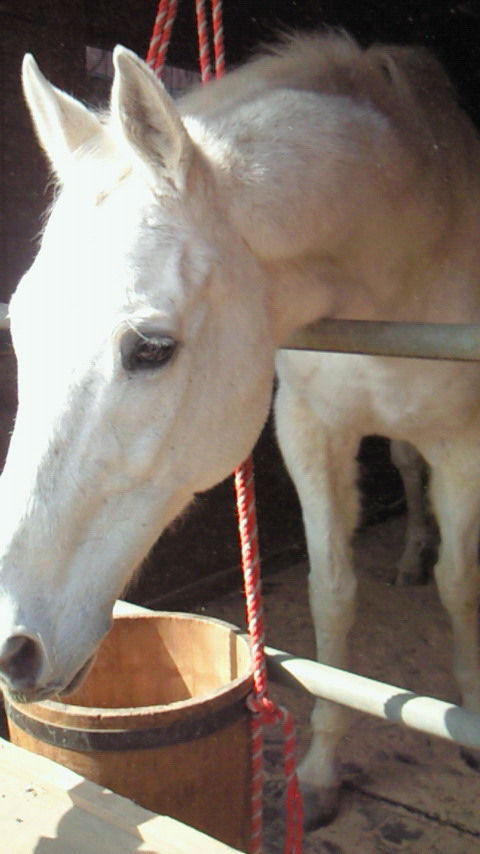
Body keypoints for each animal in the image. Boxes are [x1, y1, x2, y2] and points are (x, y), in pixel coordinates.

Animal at [2, 31, 480, 828]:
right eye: (22, 328)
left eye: (152, 349)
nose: (11, 645)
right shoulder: (308, 429)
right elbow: (333, 591)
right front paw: (319, 772)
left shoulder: (464, 444)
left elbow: (460, 585)